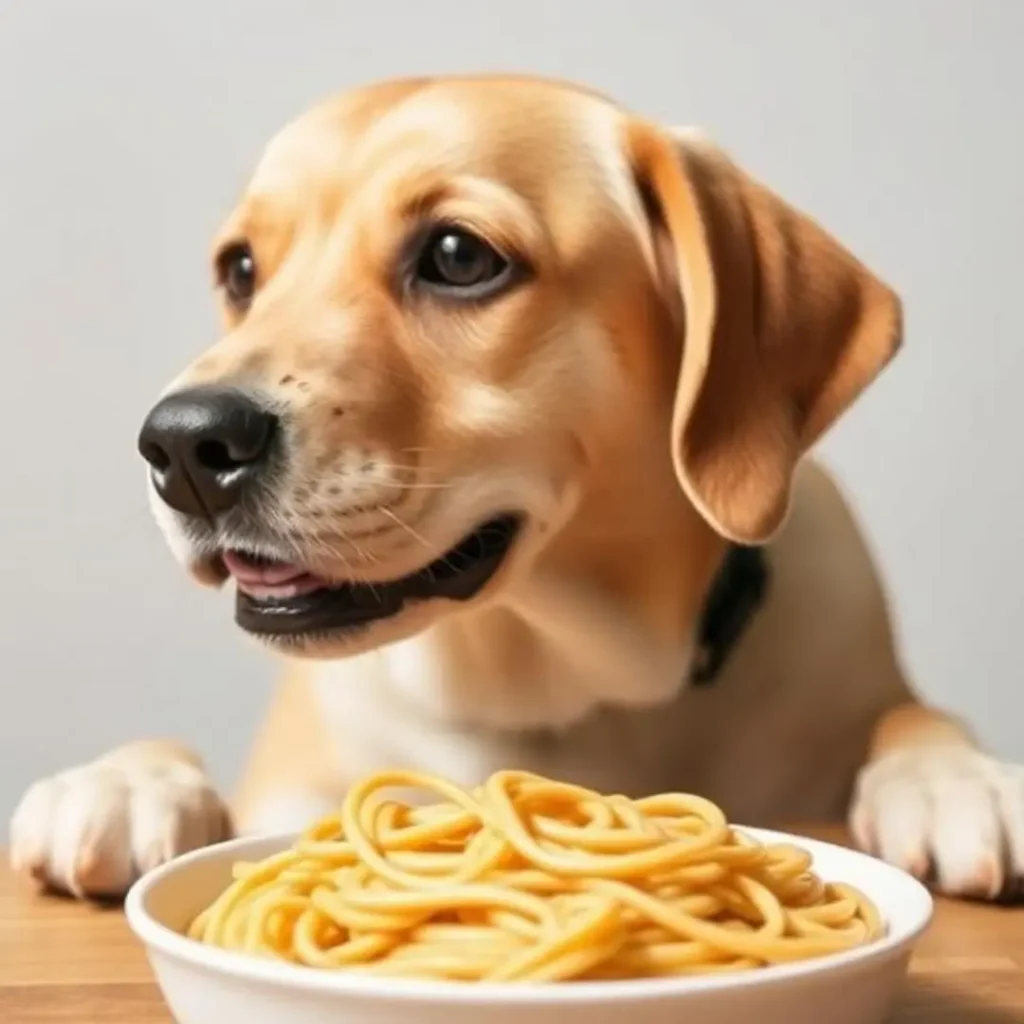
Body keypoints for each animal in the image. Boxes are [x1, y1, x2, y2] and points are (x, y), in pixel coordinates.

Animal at [9, 75, 1024, 901]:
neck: (566, 689)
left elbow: (917, 715)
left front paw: (958, 779)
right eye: (242, 270)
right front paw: (124, 782)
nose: (182, 444)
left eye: (460, 256)